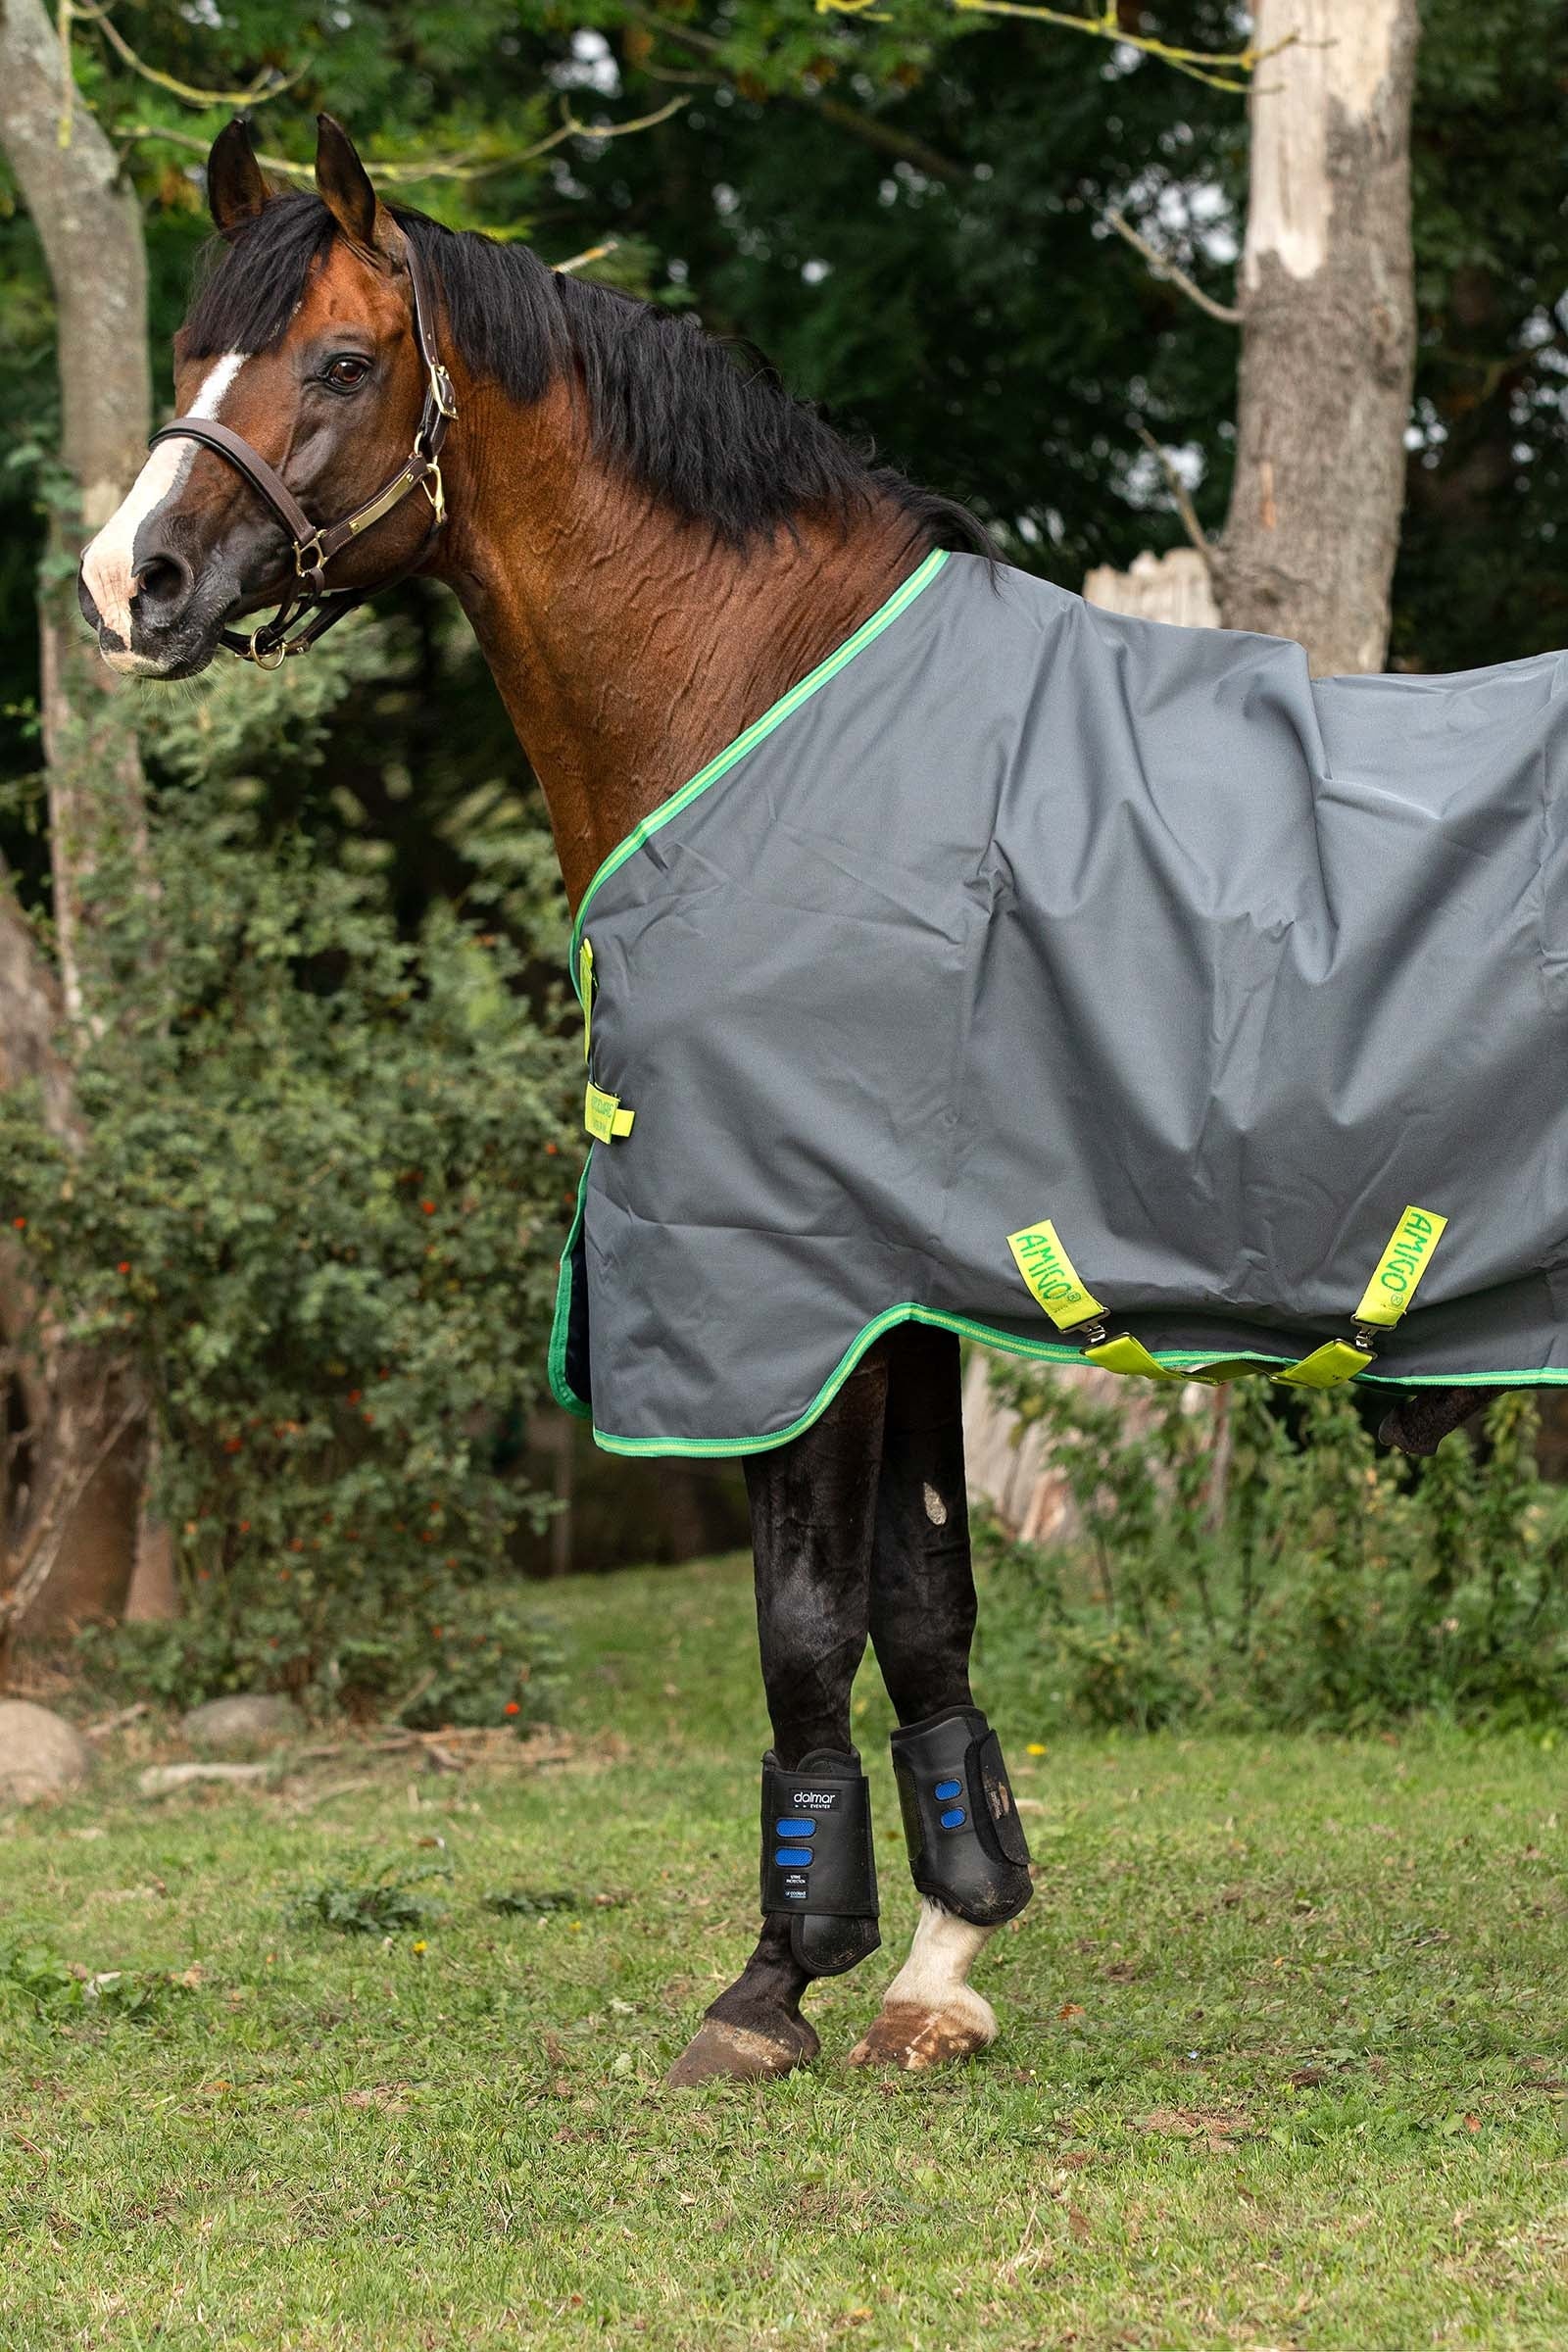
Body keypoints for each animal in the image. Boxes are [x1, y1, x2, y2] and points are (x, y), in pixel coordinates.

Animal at [80, 114, 1505, 2086]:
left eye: (346, 362)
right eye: (196, 343)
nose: (126, 580)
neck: (793, 734)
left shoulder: (796, 1290)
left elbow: (808, 1615)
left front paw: (772, 1987)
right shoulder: (907, 1299)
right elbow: (924, 1607)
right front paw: (941, 1956)